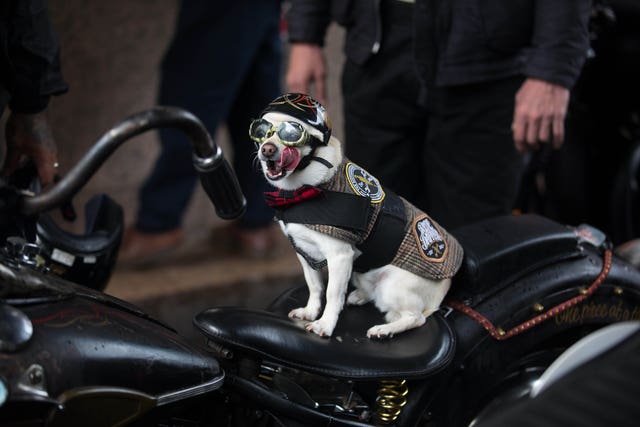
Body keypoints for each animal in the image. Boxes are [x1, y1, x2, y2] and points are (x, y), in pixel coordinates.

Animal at [251, 92, 464, 340]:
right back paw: (359, 296)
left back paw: (384, 329)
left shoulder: (339, 257)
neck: (301, 191)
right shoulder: (305, 254)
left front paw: (325, 325)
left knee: (415, 317)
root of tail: (446, 286)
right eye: (260, 131)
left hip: (391, 287)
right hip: (360, 273)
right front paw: (310, 311)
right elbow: (315, 286)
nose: (267, 149)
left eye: (293, 133)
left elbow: (332, 294)